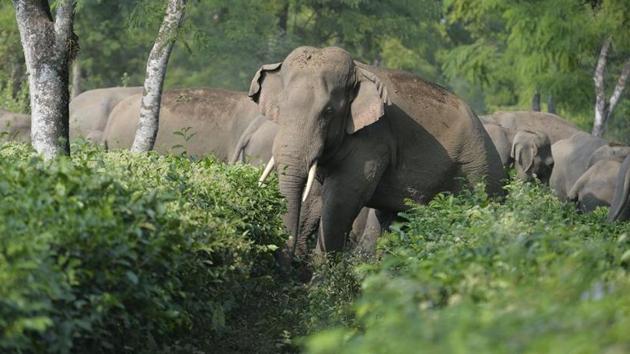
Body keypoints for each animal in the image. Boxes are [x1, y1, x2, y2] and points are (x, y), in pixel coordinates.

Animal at [249, 46, 506, 254]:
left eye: (328, 112)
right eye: (280, 107)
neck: (358, 70)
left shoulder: (373, 139)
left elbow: (341, 200)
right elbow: (315, 198)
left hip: (478, 173)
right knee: (394, 221)